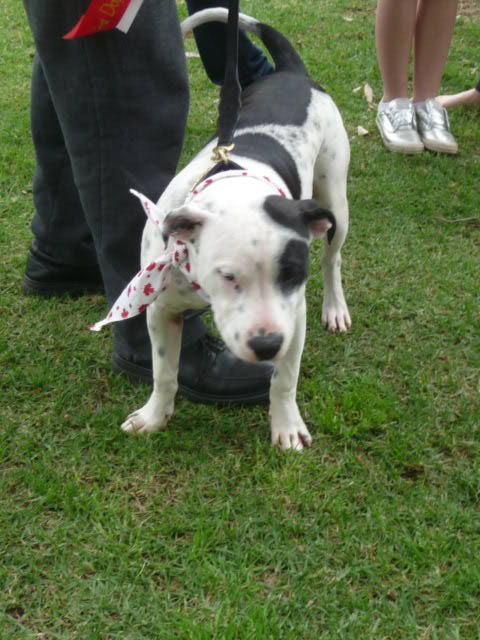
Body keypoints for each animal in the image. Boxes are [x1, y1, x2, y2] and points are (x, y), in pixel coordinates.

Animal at [117, 10, 348, 450]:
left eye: (293, 275)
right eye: (228, 276)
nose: (266, 344)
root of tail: (292, 73)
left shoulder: (293, 316)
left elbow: (284, 380)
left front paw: (286, 426)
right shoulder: (160, 310)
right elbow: (164, 372)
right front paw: (154, 416)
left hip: (336, 205)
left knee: (332, 260)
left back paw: (335, 307)